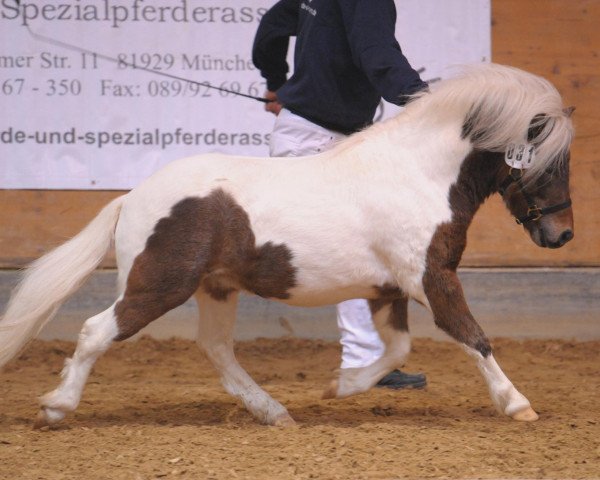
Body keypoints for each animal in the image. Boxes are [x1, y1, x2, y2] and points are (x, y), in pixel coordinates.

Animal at [0, 63, 576, 428]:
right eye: (550, 161)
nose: (563, 234)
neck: (417, 174)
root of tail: (131, 197)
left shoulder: (388, 289)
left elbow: (397, 349)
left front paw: (339, 387)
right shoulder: (431, 278)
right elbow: (474, 338)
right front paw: (518, 405)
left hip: (215, 288)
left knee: (216, 348)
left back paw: (274, 413)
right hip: (158, 285)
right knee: (97, 330)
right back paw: (56, 407)